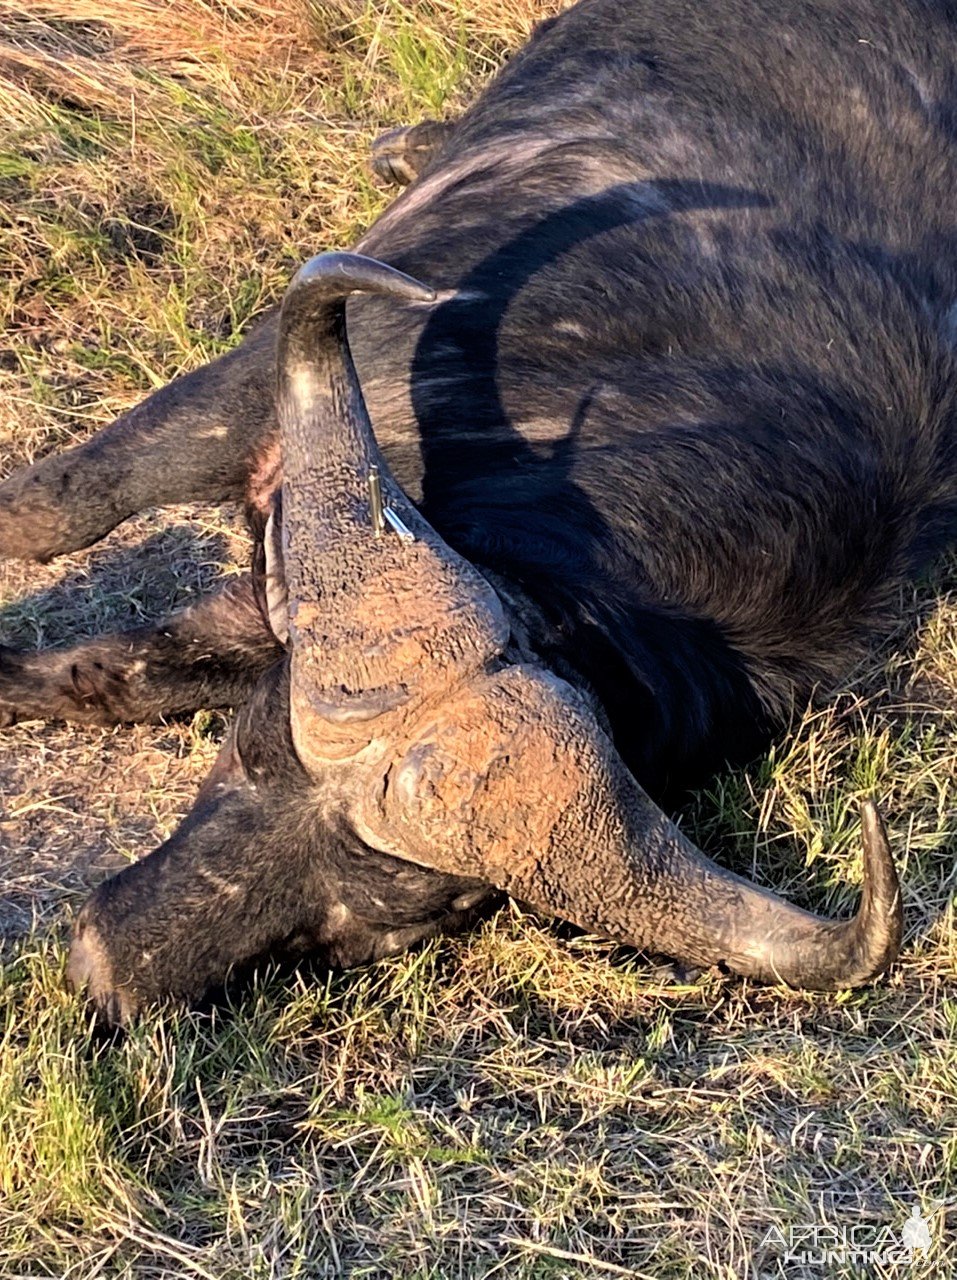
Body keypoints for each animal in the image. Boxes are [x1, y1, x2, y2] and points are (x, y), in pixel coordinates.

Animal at [7, 0, 957, 1024]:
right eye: (246, 759)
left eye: (370, 929)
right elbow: (56, 513)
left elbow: (111, 674)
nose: (103, 968)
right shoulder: (245, 399)